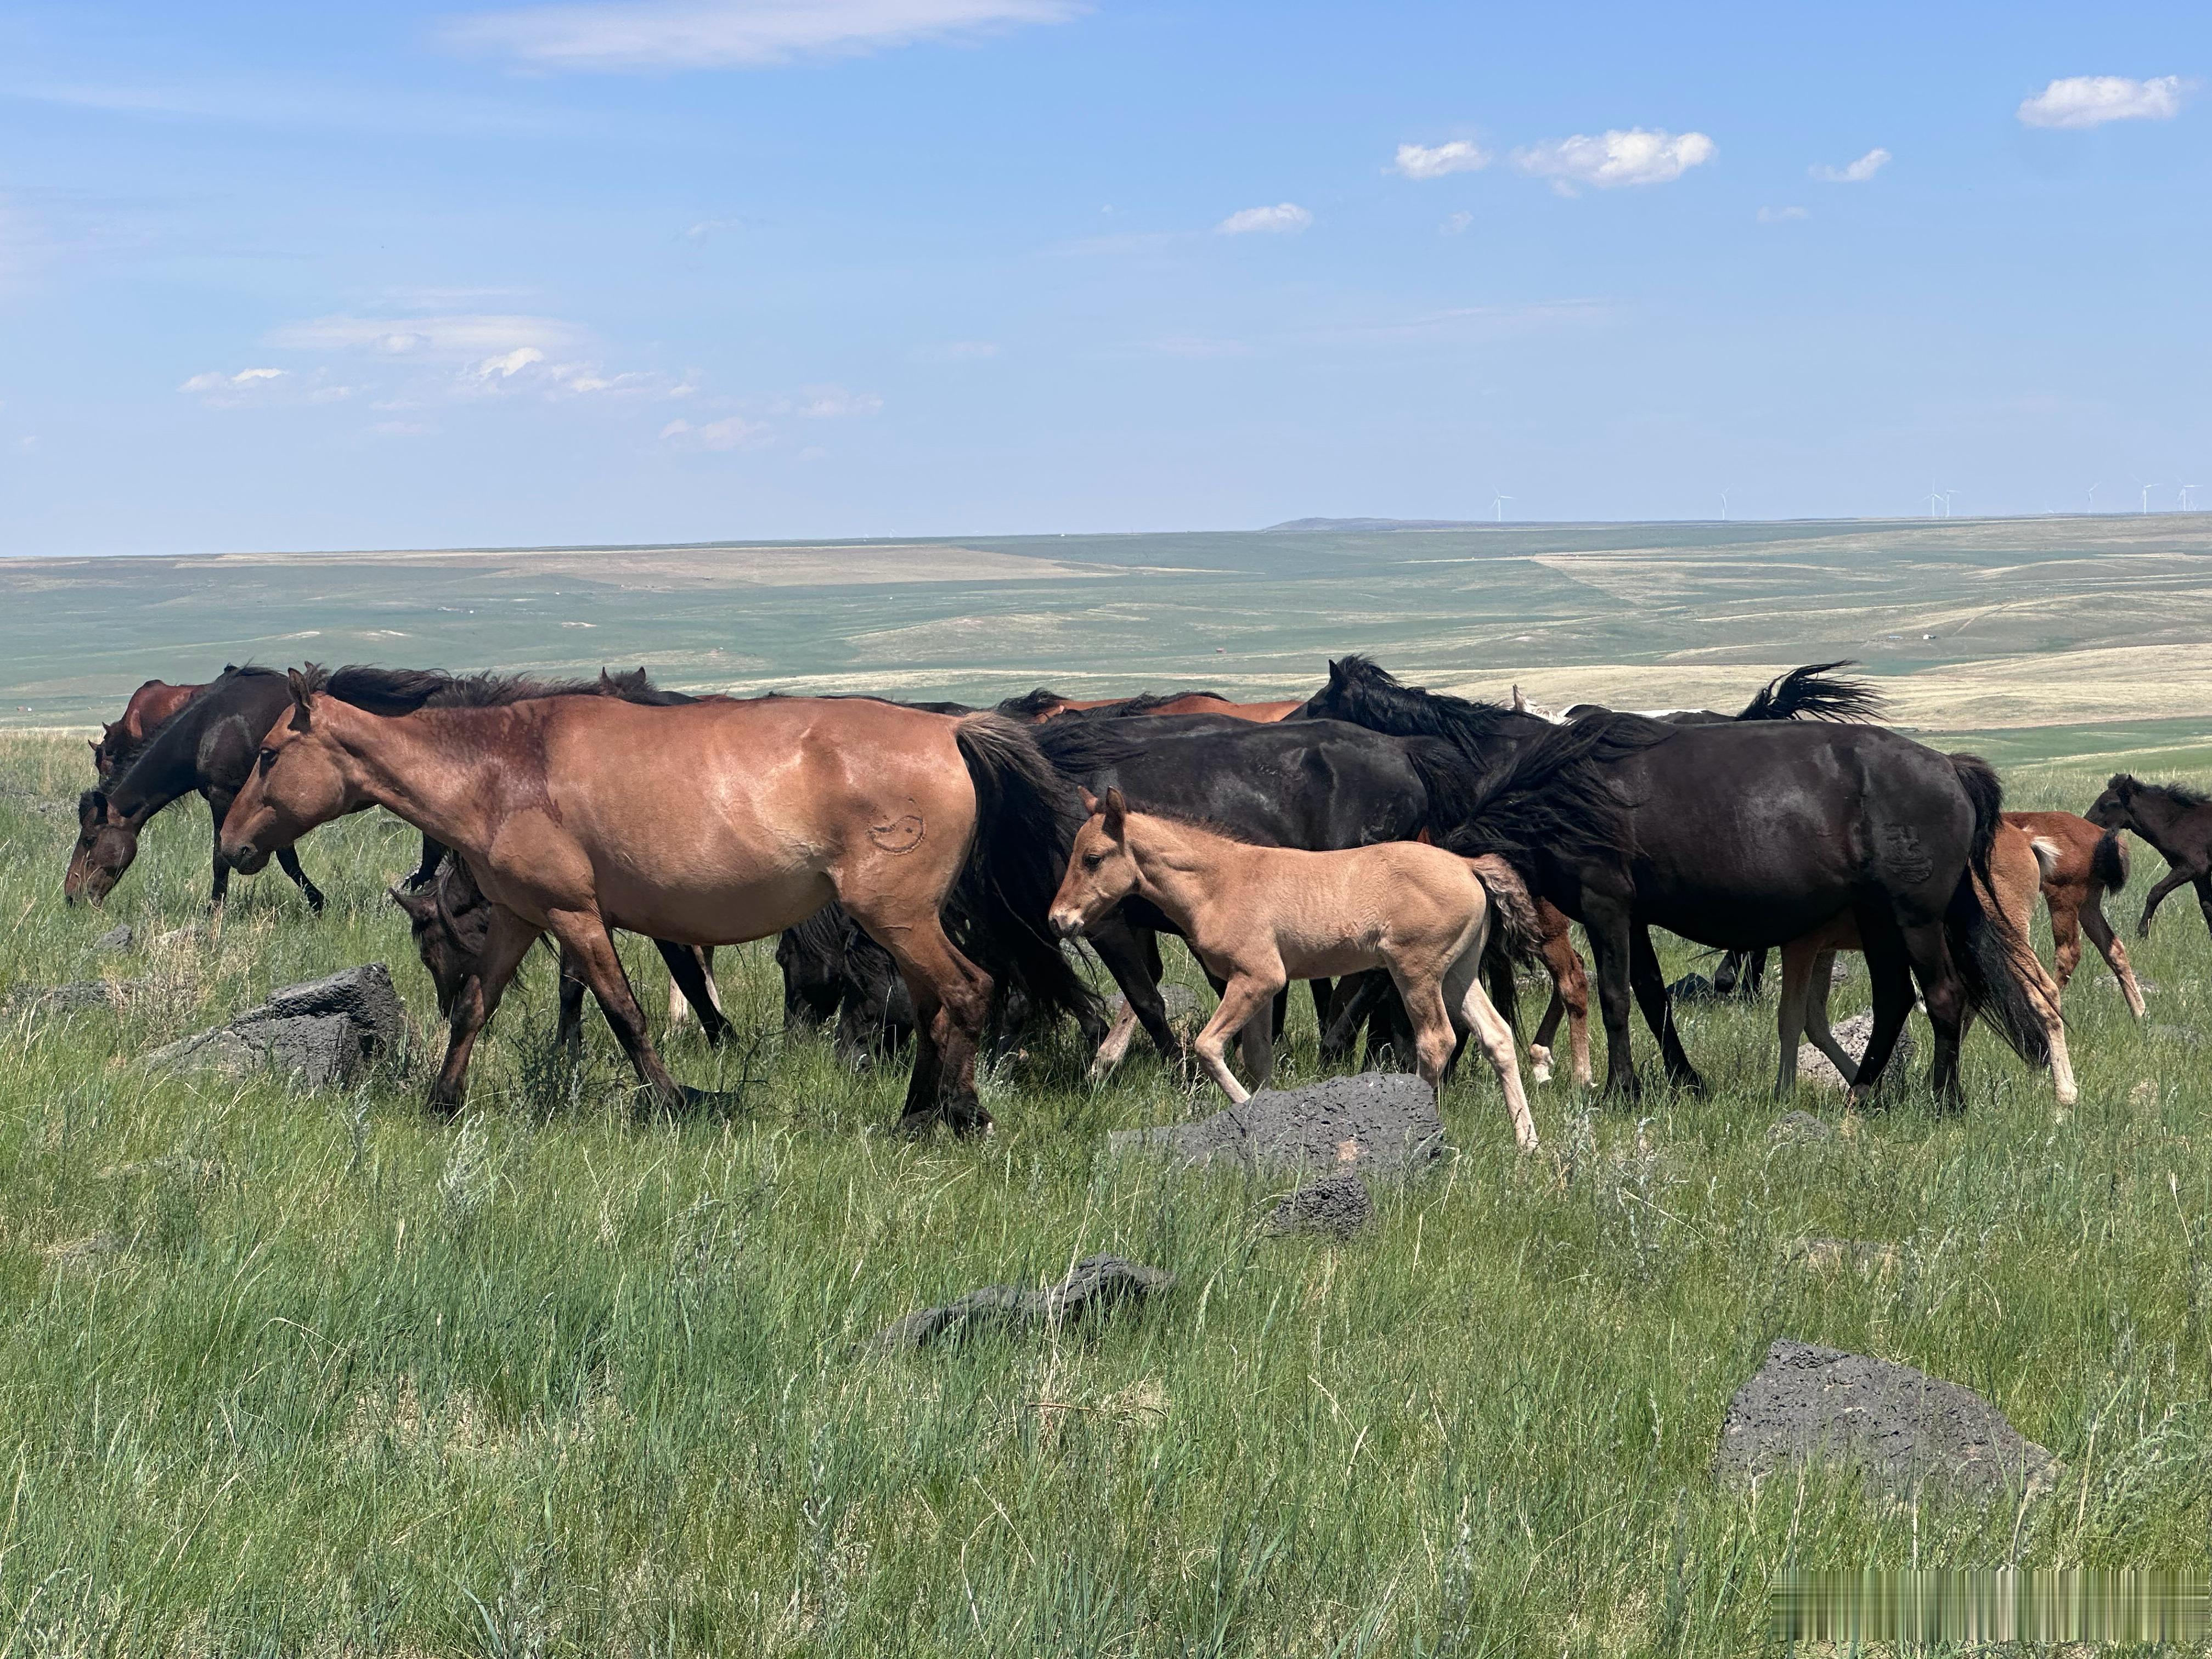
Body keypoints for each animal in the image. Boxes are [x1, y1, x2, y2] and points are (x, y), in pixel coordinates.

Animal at [219, 669, 1095, 1131]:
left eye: (269, 754)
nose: (230, 846)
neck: (503, 771)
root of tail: (951, 733)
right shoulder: (520, 918)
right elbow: (477, 1008)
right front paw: (443, 1100)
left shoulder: (576, 917)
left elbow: (624, 1012)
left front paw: (674, 1101)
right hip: (902, 923)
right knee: (930, 1003)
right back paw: (915, 1112)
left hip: (900, 917)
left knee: (966, 991)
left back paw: (959, 1118)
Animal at [1048, 788, 1546, 1149]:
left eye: (1092, 858)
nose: (1058, 920)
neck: (1219, 882)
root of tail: (1467, 865)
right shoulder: (1259, 988)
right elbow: (1258, 1058)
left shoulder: (1258, 977)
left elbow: (1209, 1047)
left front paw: (1246, 1109)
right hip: (1458, 973)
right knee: (1497, 1037)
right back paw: (1528, 1144)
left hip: (1416, 972)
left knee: (1436, 1041)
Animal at [1777, 821, 2076, 1107]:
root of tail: (2023, 838)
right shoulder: (1823, 951)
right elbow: (1815, 1023)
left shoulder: (1800, 946)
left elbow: (1792, 1019)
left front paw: (1785, 1092)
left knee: (2045, 994)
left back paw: (2064, 1100)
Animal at [2003, 810, 2143, 1016]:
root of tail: (2101, 835)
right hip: (2088, 907)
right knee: (2113, 947)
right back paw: (2139, 1013)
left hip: (2063, 902)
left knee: (2068, 955)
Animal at [2084, 776, 2212, 945]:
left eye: (2108, 803)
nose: (2085, 823)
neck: (2175, 823)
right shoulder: (2201, 874)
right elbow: (2207, 905)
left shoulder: (2192, 867)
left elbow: (2155, 893)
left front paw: (2142, 933)